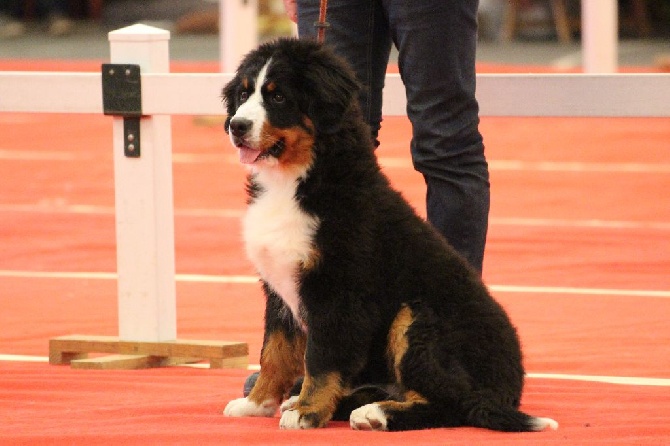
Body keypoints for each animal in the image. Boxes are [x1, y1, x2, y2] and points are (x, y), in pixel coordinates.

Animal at [219, 36, 556, 434]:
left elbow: (321, 358)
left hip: (416, 317)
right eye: (244, 93)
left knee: (454, 403)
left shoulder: (338, 290)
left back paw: (375, 414)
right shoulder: (279, 289)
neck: (296, 179)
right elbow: (274, 351)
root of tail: (508, 388)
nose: (237, 125)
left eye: (279, 97)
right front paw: (256, 404)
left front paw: (306, 411)